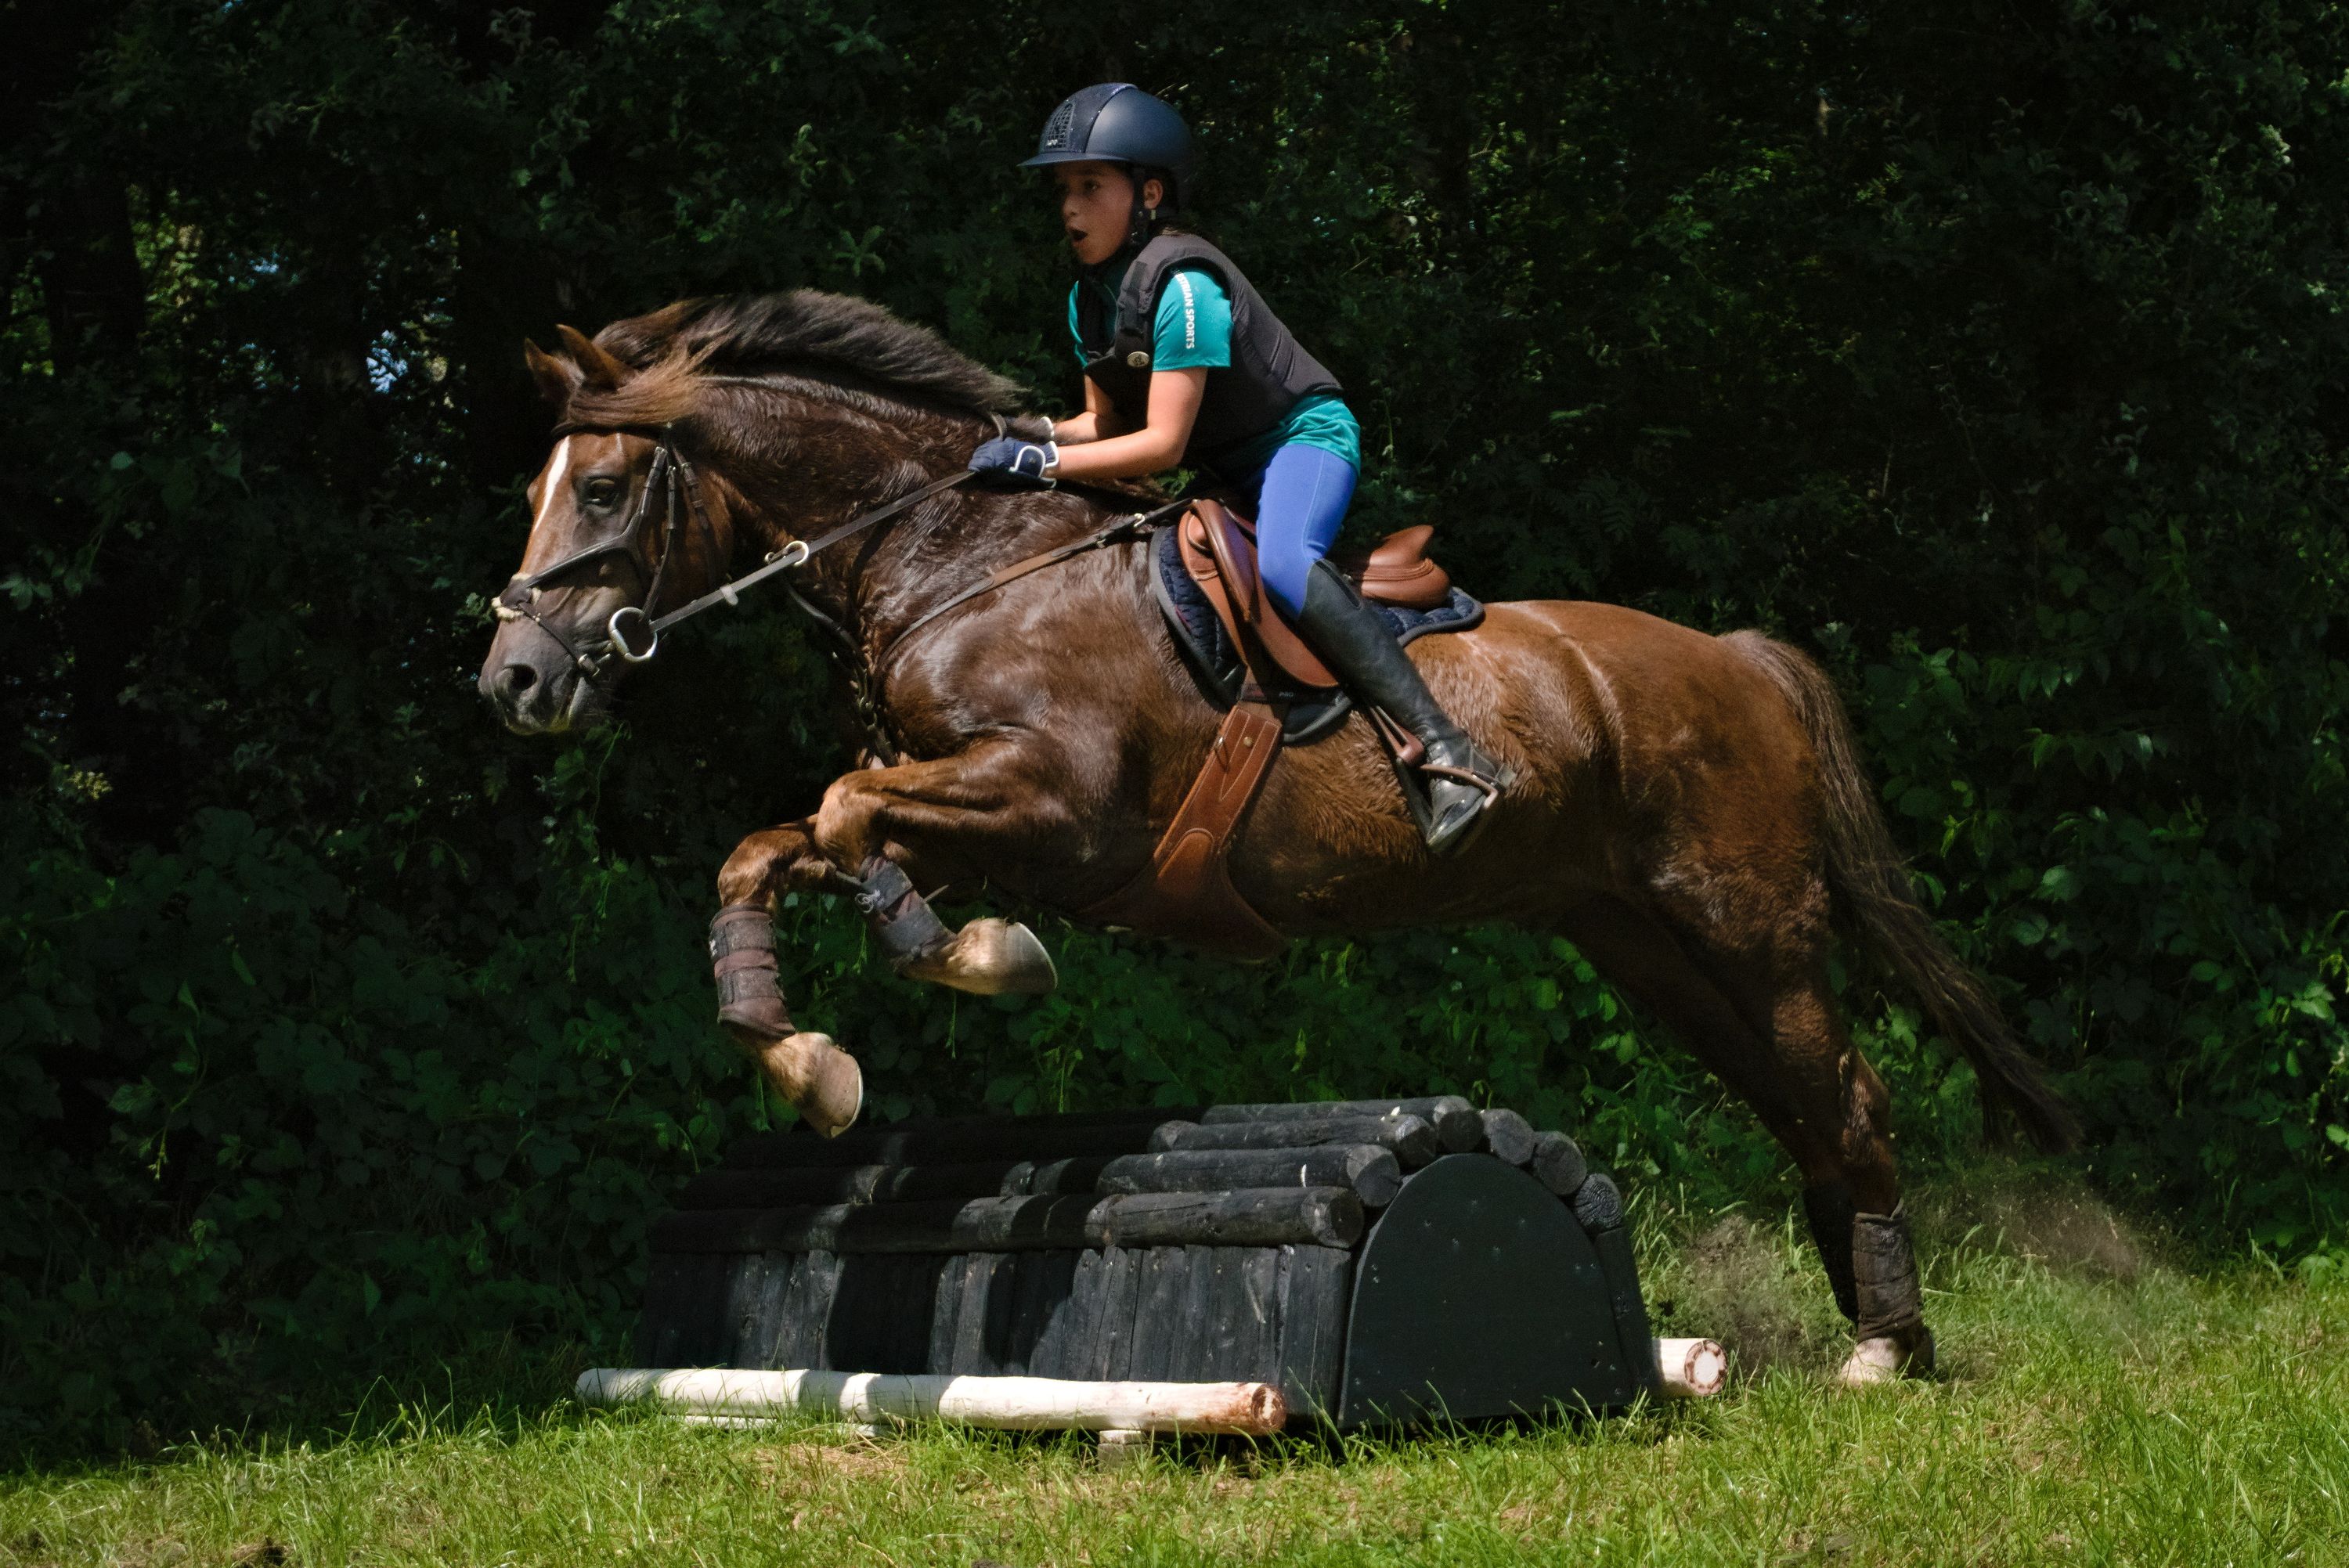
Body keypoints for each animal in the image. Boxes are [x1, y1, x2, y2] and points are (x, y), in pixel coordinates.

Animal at [477, 289, 2076, 1385]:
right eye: (539, 491)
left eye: (603, 491)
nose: (515, 682)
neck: (955, 561)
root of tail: (1741, 656)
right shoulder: (965, 806)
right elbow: (781, 843)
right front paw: (809, 1050)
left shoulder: (1056, 808)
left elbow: (846, 818)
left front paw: (978, 958)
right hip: (1651, 946)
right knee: (1797, 1102)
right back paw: (1871, 1322)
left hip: (1751, 923)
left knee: (1846, 1095)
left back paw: (1886, 1346)